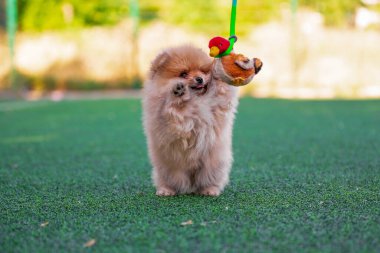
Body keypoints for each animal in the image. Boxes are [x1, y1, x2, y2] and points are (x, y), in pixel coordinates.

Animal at [142, 44, 238, 197]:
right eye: (183, 74)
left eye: (203, 71)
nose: (199, 79)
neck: (196, 99)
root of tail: (191, 185)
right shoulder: (168, 117)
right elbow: (173, 110)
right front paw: (178, 92)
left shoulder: (217, 105)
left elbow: (222, 89)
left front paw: (221, 66)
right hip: (167, 170)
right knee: (169, 181)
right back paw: (166, 190)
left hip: (213, 166)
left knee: (209, 180)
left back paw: (210, 190)